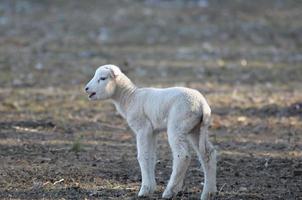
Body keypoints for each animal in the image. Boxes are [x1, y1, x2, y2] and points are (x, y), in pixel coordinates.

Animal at [85, 65, 217, 199]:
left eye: (102, 78)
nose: (86, 89)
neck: (130, 98)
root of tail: (203, 105)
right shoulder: (153, 131)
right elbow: (151, 156)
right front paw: (151, 187)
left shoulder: (143, 128)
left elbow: (143, 156)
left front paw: (144, 190)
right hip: (196, 129)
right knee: (208, 154)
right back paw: (208, 193)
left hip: (177, 125)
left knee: (182, 155)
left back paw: (170, 191)